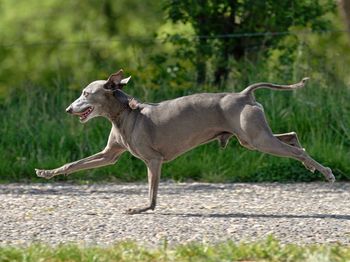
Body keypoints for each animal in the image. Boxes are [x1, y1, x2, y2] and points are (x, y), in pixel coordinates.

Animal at [34, 70, 334, 215]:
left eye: (86, 93)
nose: (68, 109)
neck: (125, 113)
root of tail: (244, 94)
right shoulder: (110, 155)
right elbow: (73, 164)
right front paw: (46, 172)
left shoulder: (153, 160)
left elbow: (152, 195)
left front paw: (140, 208)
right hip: (252, 138)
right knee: (293, 137)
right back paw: (311, 165)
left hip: (257, 139)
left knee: (299, 150)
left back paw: (325, 171)